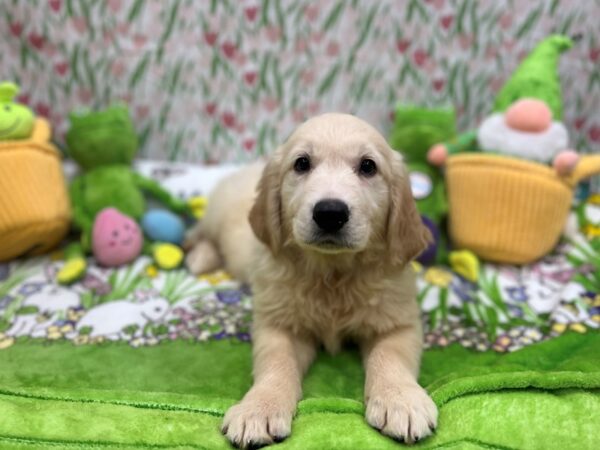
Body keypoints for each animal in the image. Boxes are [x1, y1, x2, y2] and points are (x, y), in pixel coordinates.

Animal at [186, 112, 436, 446]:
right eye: (302, 163)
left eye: (368, 166)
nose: (330, 212)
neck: (332, 273)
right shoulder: (279, 324)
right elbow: (277, 363)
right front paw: (259, 409)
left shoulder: (398, 322)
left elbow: (390, 356)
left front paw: (401, 401)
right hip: (214, 215)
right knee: (198, 234)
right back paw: (200, 258)